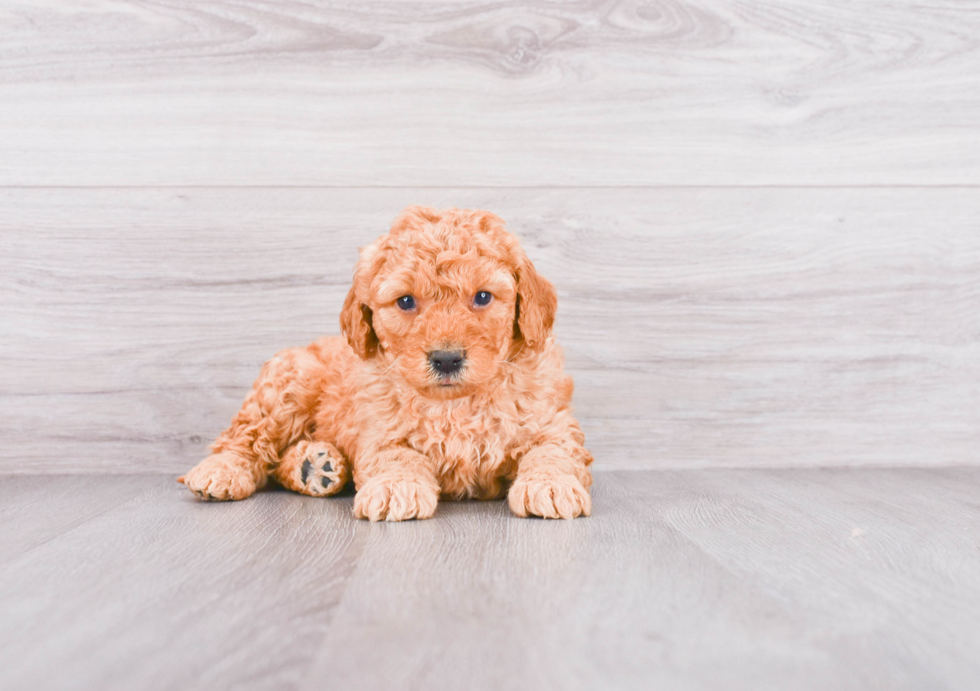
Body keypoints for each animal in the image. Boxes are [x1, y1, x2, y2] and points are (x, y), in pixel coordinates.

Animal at [180, 205, 592, 520]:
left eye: (483, 297)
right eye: (406, 301)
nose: (446, 359)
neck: (455, 404)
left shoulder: (551, 420)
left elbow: (553, 451)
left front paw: (551, 484)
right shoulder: (380, 430)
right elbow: (397, 455)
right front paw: (397, 487)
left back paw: (314, 465)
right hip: (289, 382)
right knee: (246, 436)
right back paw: (223, 469)